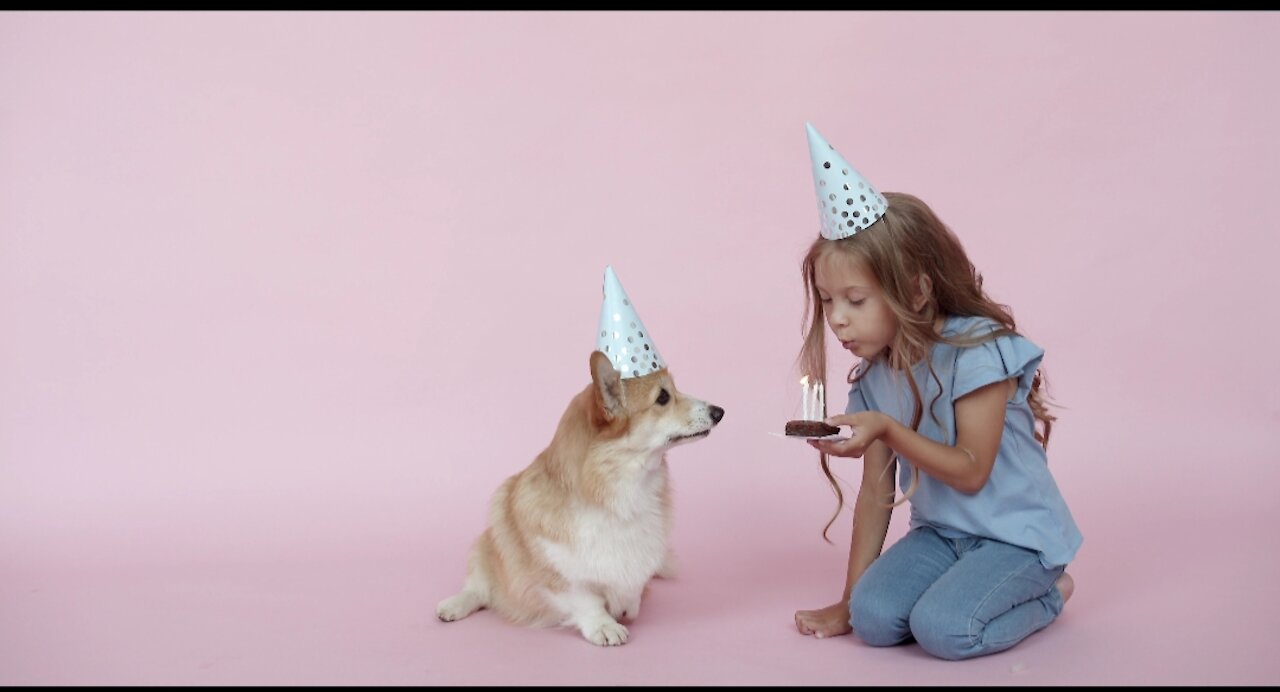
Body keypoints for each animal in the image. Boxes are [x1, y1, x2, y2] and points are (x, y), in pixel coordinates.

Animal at [437, 347, 721, 644]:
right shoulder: (558, 572)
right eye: (663, 397)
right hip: (486, 547)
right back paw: (453, 606)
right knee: (479, 589)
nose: (720, 411)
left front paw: (626, 606)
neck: (623, 487)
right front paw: (604, 625)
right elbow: (585, 599)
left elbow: (632, 584)